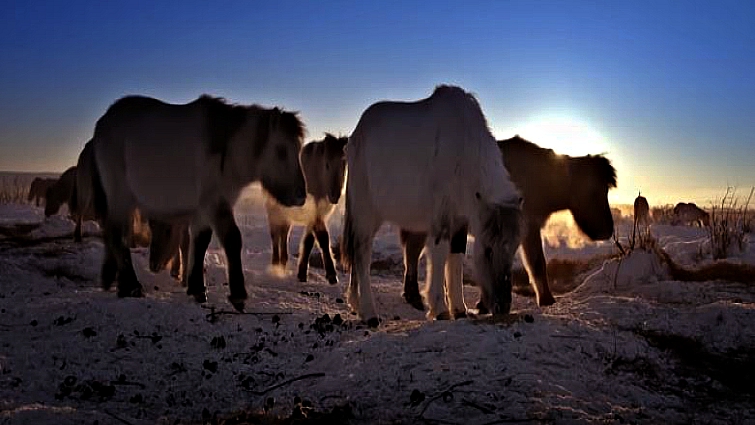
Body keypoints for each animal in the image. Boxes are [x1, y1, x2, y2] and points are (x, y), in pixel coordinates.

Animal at [85, 94, 304, 310]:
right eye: (281, 150)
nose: (301, 195)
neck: (227, 149)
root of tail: (102, 124)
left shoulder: (204, 208)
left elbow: (200, 242)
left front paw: (197, 288)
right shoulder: (215, 203)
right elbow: (232, 239)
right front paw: (238, 294)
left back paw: (120, 285)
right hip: (120, 196)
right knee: (115, 234)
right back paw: (131, 286)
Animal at [266, 132, 348, 284]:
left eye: (344, 164)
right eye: (326, 164)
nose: (335, 196)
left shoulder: (317, 215)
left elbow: (309, 241)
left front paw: (302, 273)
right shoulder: (314, 215)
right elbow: (323, 238)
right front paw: (331, 274)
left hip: (286, 218)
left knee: (284, 235)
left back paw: (283, 264)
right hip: (274, 213)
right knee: (275, 236)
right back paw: (275, 266)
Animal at [342, 86, 524, 324]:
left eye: (514, 248)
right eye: (488, 249)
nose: (503, 307)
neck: (464, 152)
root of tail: (356, 136)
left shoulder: (461, 219)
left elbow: (456, 257)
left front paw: (459, 309)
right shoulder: (442, 216)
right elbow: (439, 253)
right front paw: (440, 309)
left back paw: (356, 305)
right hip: (365, 211)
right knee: (362, 253)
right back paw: (370, 313)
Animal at [398, 135, 616, 308]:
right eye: (594, 191)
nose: (608, 231)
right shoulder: (528, 226)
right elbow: (536, 262)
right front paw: (547, 300)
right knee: (413, 249)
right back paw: (414, 296)